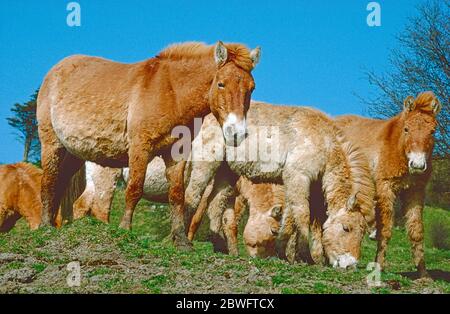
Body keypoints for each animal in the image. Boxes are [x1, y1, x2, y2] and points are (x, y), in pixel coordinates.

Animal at [37, 41, 262, 250]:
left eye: (251, 88)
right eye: (221, 84)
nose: (237, 133)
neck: (171, 91)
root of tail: (55, 70)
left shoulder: (177, 152)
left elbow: (177, 194)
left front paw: (181, 240)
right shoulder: (140, 148)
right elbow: (134, 189)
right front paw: (125, 229)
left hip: (74, 153)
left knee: (61, 181)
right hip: (51, 143)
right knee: (49, 180)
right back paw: (45, 225)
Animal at [336, 91, 442, 278]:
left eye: (432, 131)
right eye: (406, 129)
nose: (417, 164)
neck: (398, 147)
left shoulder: (415, 191)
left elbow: (416, 230)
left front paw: (423, 274)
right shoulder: (385, 188)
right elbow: (386, 229)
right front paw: (379, 266)